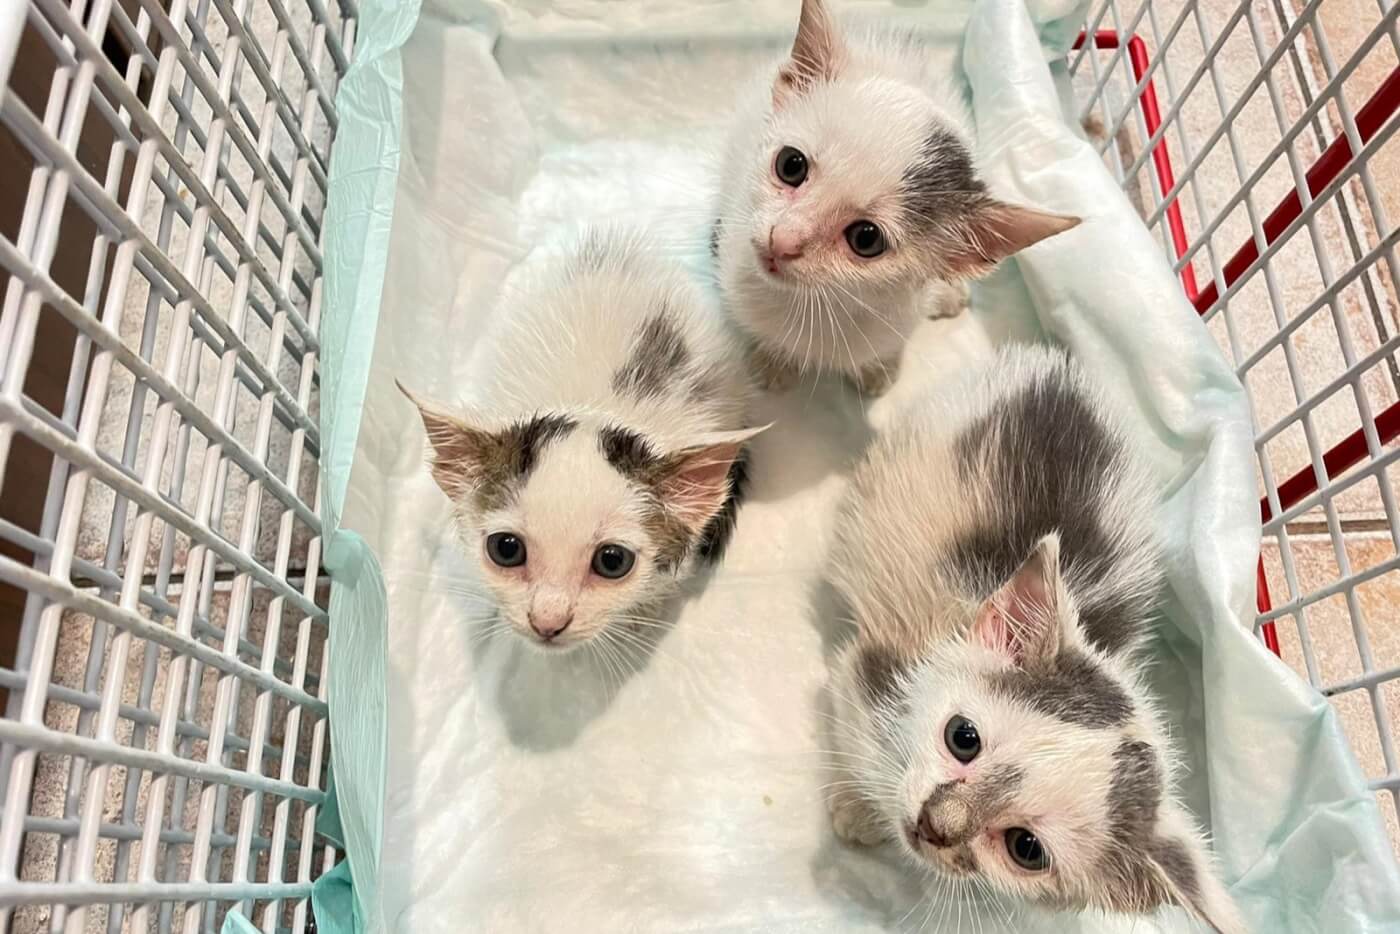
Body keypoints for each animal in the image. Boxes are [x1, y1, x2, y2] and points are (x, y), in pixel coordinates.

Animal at [716, 0, 1075, 394]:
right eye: (790, 165)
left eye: (866, 238)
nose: (782, 241)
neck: (820, 304)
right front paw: (773, 360)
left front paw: (876, 369)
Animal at [823, 345, 1243, 934]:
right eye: (963, 738)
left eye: (1026, 848)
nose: (935, 826)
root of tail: (1058, 368)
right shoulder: (873, 669)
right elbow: (848, 711)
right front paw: (857, 806)